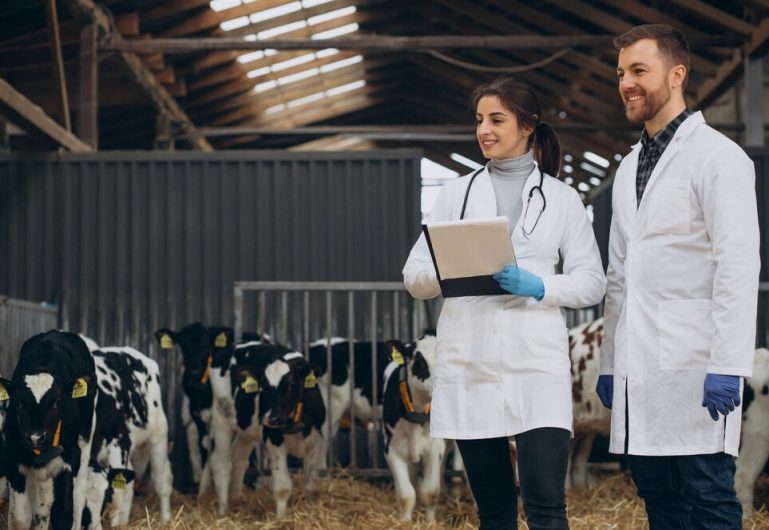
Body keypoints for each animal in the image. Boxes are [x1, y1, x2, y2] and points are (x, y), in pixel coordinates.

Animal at [0, 328, 99, 524]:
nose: (35, 437)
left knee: (78, 499)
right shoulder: (13, 462)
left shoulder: (68, 463)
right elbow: (19, 517)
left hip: (84, 447)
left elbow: (63, 514)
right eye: (19, 402)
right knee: (43, 508)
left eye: (56, 402)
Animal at [260, 348, 328, 512]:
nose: (272, 419)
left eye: (290, 386)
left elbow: (311, 485)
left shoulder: (315, 441)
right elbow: (282, 487)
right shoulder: (273, 441)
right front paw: (281, 516)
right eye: (262, 387)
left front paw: (311, 511)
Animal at [380, 334, 440, 520]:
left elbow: (430, 491)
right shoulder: (391, 449)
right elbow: (406, 494)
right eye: (420, 362)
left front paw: (431, 522)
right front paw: (404, 521)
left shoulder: (435, 449)